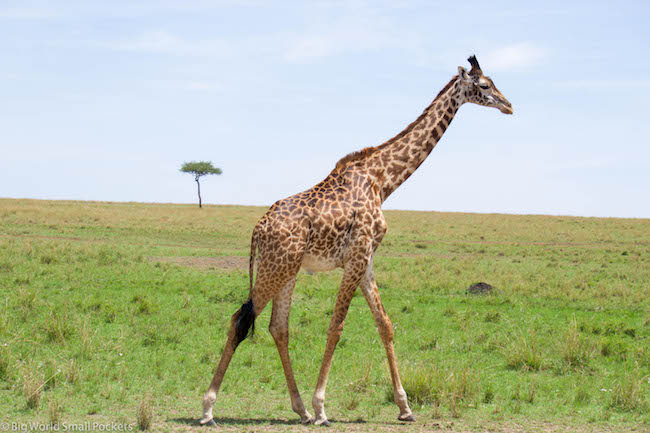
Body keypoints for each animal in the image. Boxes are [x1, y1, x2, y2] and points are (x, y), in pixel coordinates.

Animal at [197, 54, 512, 426]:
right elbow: (337, 325)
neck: (383, 180)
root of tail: (257, 229)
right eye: (485, 85)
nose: (508, 105)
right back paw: (209, 408)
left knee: (278, 327)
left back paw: (300, 409)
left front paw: (405, 407)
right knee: (240, 319)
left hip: (287, 270)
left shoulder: (366, 259)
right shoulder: (358, 255)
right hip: (276, 268)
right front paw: (322, 406)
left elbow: (385, 325)